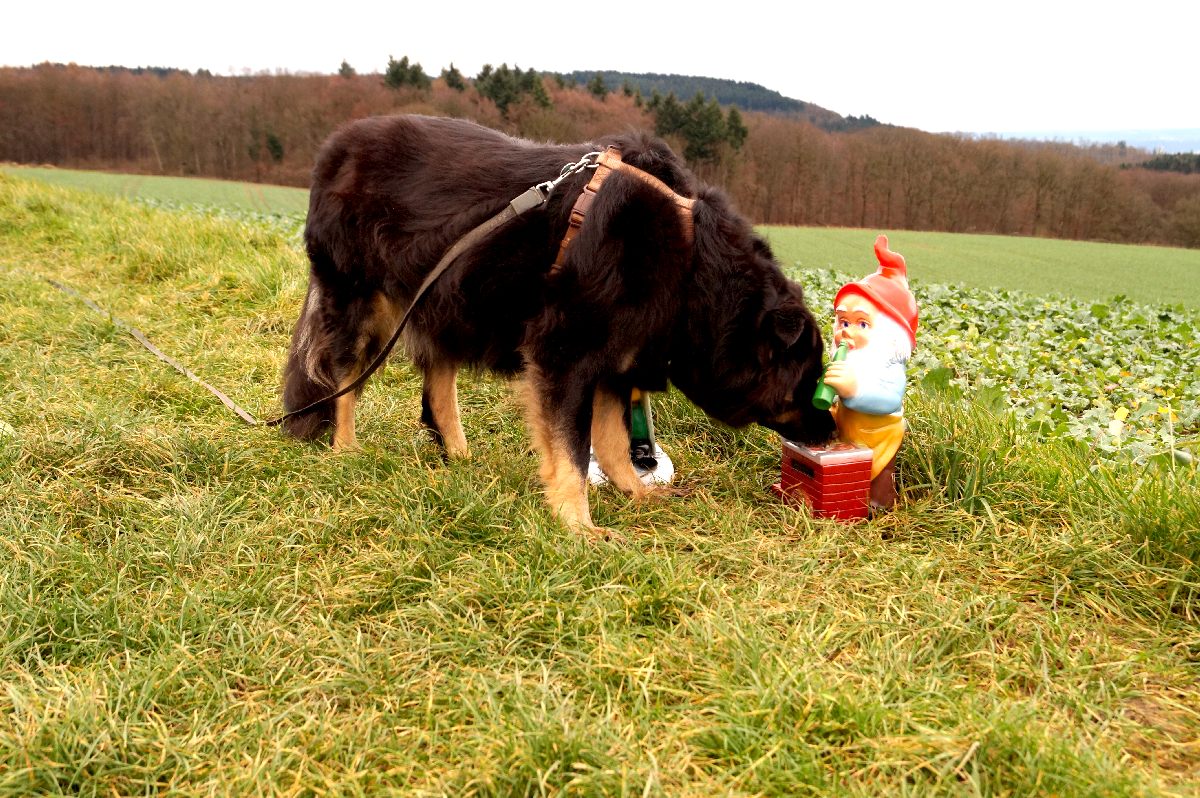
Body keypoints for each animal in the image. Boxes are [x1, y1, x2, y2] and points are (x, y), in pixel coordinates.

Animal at [280, 112, 835, 532]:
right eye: (807, 382)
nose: (830, 432)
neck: (691, 261)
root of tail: (333, 150)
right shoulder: (566, 353)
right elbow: (572, 448)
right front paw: (578, 525)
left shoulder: (615, 361)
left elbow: (611, 445)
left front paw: (636, 496)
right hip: (364, 305)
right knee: (345, 382)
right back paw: (347, 451)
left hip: (445, 301)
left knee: (437, 388)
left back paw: (461, 459)